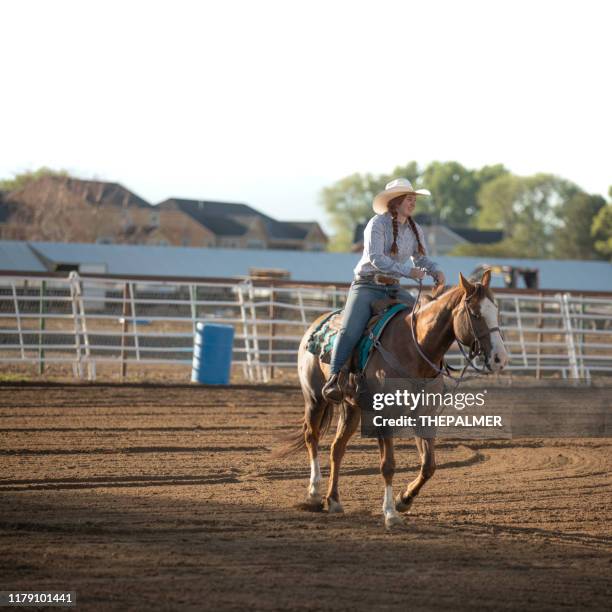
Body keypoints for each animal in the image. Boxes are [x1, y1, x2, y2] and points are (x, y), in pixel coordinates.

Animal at [276, 270, 506, 528]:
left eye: (496, 310)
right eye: (475, 314)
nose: (500, 358)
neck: (414, 349)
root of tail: (316, 323)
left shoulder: (424, 416)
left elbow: (429, 465)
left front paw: (403, 500)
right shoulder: (384, 417)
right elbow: (388, 465)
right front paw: (390, 513)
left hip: (351, 408)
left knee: (337, 448)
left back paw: (333, 500)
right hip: (315, 398)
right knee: (312, 437)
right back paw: (314, 494)